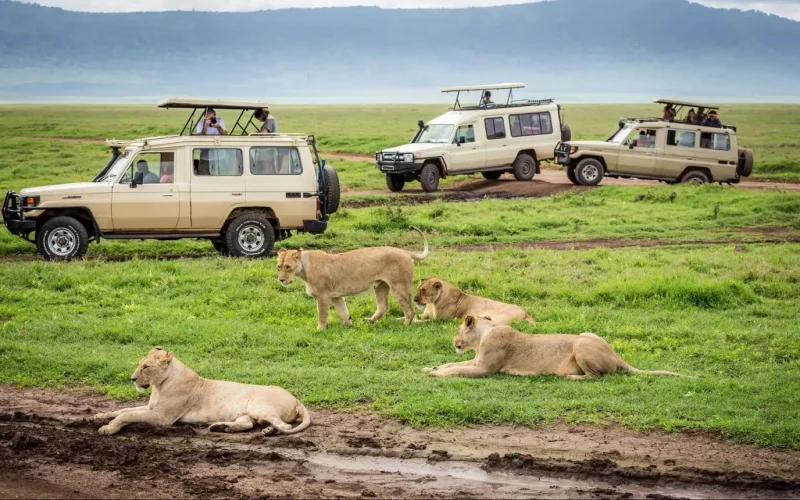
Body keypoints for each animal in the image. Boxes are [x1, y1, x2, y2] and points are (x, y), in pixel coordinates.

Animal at [94, 347, 310, 436]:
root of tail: (296, 399)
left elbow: (127, 415)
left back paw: (270, 431)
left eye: (146, 367)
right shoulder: (151, 407)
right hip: (247, 414)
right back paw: (222, 427)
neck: (159, 386)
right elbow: (121, 410)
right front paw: (100, 416)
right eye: (140, 364)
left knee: (285, 426)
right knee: (247, 424)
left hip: (259, 407)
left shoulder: (162, 417)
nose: (132, 379)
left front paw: (108, 428)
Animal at [277, 227, 429, 329]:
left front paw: (319, 329)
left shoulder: (323, 296)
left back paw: (405, 325)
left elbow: (322, 314)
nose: (281, 280)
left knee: (409, 310)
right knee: (383, 306)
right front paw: (348, 325)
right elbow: (343, 312)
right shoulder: (335, 296)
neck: (304, 269)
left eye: (288, 267)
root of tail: (405, 251)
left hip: (399, 285)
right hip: (381, 285)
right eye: (279, 267)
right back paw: (369, 321)